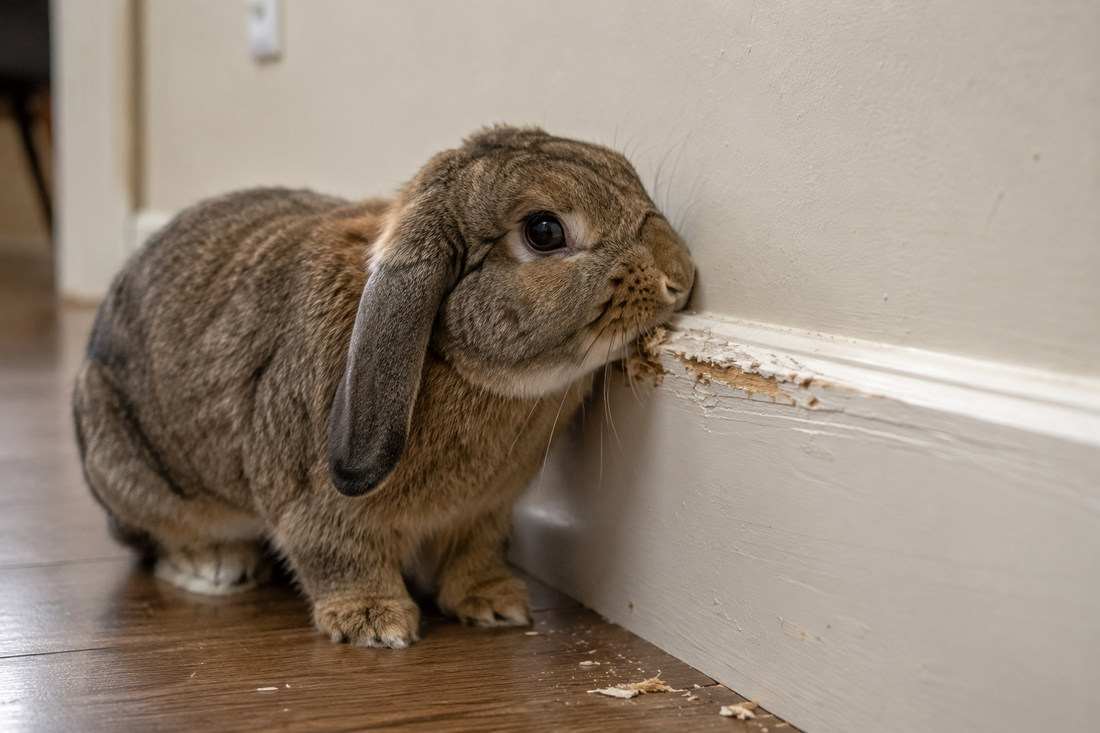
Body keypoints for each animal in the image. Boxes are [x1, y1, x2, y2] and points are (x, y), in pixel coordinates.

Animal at [73, 125, 695, 649]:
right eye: (544, 231)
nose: (682, 276)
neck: (452, 359)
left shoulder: (485, 512)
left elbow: (477, 553)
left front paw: (496, 603)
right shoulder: (318, 506)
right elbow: (336, 555)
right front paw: (374, 622)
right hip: (131, 468)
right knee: (154, 536)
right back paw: (216, 565)